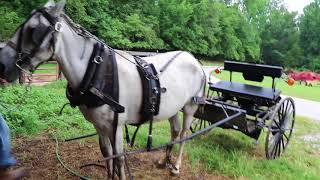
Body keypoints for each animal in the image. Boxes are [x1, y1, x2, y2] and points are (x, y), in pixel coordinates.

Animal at [0, 1, 205, 179]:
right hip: (172, 107)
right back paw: (164, 161)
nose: (3, 65)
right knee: (175, 131)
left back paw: (176, 166)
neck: (97, 71)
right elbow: (107, 155)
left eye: (33, 30)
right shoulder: (99, 126)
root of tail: (194, 60)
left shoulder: (117, 126)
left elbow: (119, 160)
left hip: (189, 106)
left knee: (185, 134)